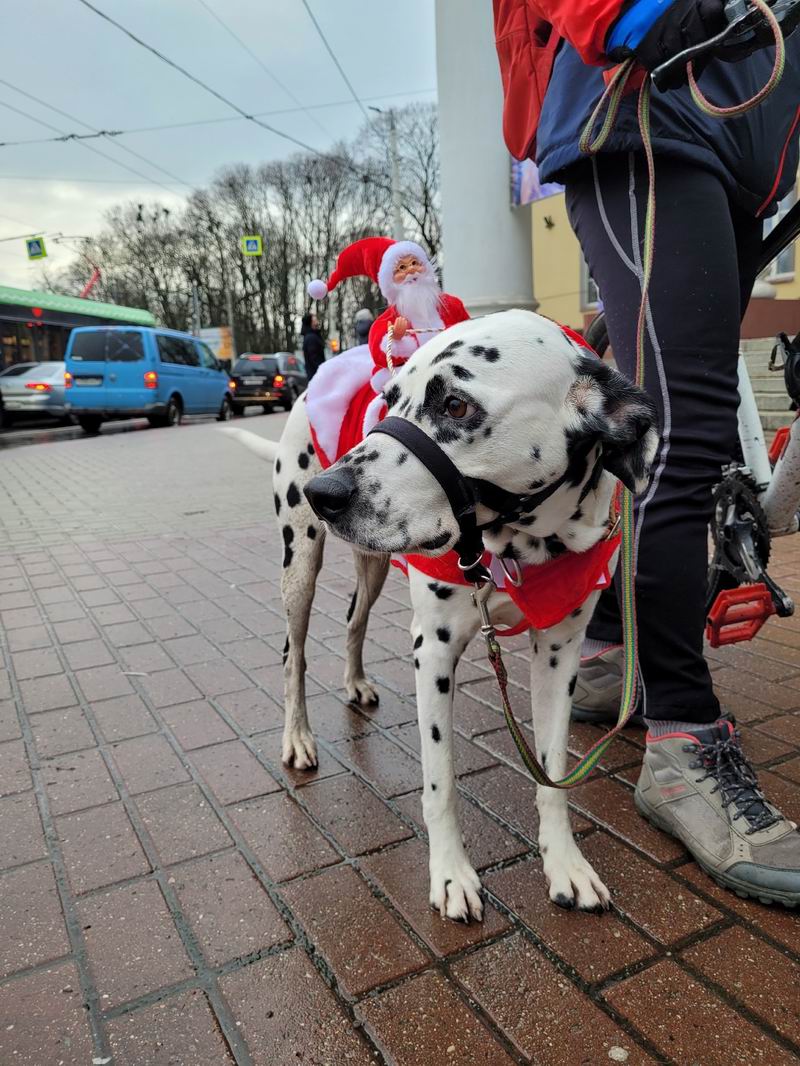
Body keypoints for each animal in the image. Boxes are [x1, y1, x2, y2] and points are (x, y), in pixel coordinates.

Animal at [224, 307, 657, 916]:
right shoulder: (434, 650)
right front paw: (451, 875)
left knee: (353, 621)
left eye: (455, 405)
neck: (520, 547)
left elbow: (551, 773)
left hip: (373, 566)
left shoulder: (559, 654)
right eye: (388, 400)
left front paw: (565, 864)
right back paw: (298, 738)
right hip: (300, 565)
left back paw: (355, 683)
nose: (324, 492)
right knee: (293, 654)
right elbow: (440, 782)